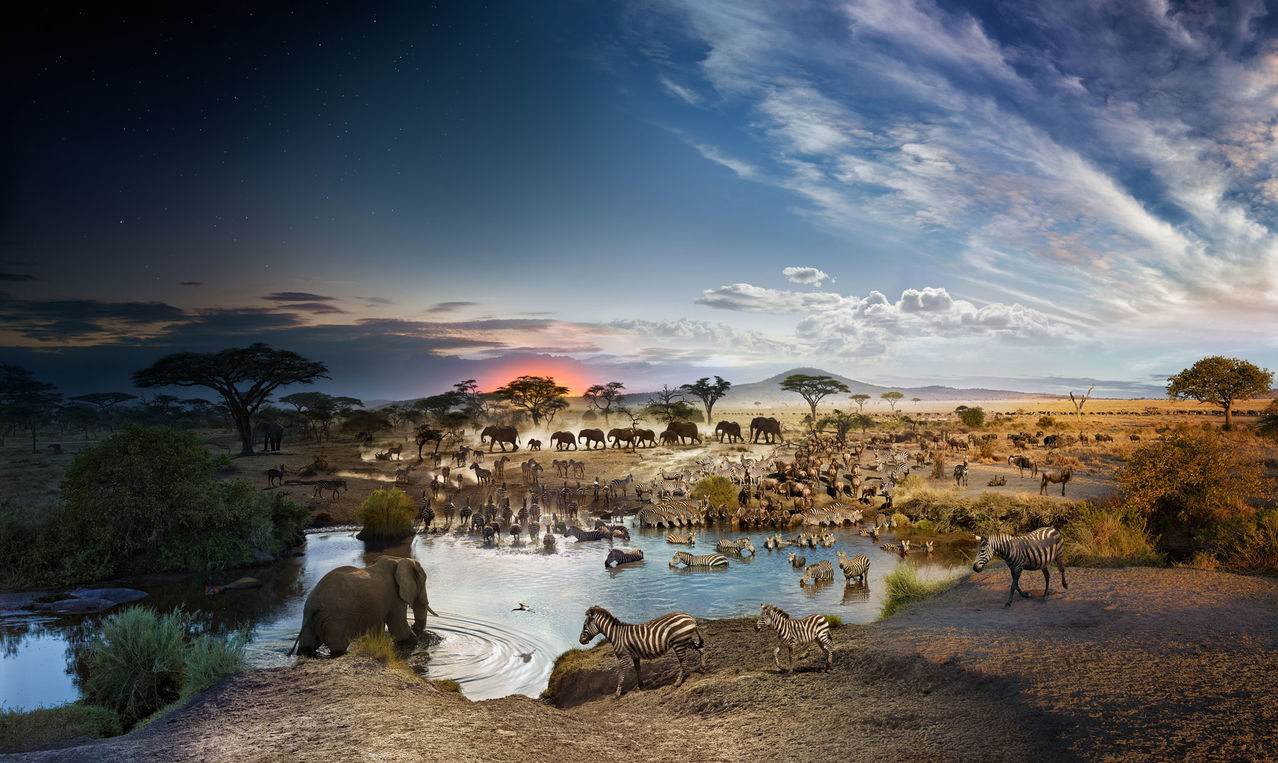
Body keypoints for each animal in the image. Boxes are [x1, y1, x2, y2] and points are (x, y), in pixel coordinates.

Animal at [288, 557, 437, 659]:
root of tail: (314, 604)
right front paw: (413, 640)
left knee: (306, 646)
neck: (399, 559)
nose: (415, 627)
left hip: (310, 620)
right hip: (335, 622)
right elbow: (399, 628)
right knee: (338, 646)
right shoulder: (395, 597)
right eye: (423, 581)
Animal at [580, 605, 710, 695]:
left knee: (684, 663)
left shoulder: (623, 657)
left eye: (585, 626)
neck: (616, 635)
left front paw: (617, 693)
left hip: (679, 643)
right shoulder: (635, 656)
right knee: (701, 649)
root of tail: (690, 617)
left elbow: (621, 675)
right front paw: (640, 686)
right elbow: (638, 670)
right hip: (685, 641)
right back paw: (703, 668)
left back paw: (677, 682)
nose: (580, 641)